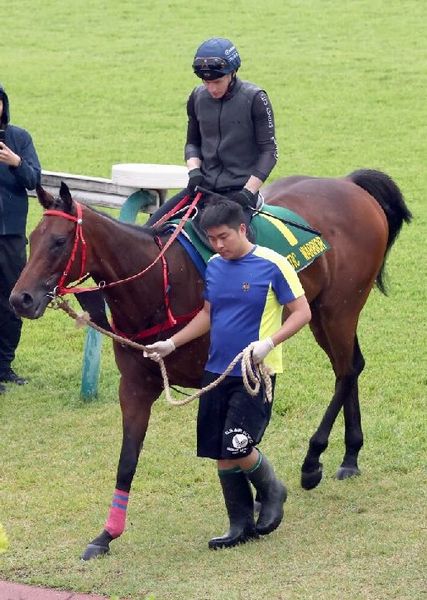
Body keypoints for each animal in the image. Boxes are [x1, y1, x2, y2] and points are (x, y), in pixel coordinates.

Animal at [9, 168, 412, 556]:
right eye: (32, 239)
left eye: (59, 242)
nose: (20, 299)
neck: (160, 284)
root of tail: (349, 185)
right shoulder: (135, 386)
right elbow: (127, 461)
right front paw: (107, 534)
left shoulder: (224, 375)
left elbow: (237, 441)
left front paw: (261, 502)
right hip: (320, 314)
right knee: (354, 367)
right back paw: (350, 455)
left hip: (338, 309)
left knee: (345, 372)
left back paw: (314, 461)